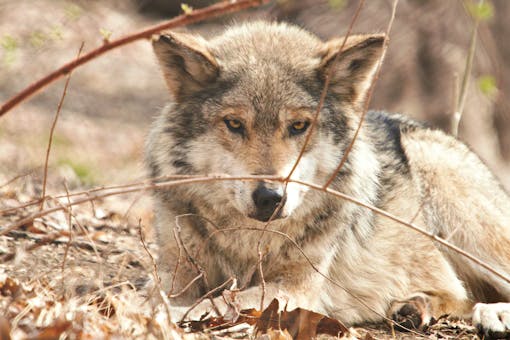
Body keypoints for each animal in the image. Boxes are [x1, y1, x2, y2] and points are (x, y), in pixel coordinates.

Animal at [143, 21, 510, 338]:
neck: (248, 241)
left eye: (298, 126)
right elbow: (156, 292)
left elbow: (221, 300)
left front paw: (179, 315)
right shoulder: (176, 268)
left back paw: (494, 314)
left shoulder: (296, 287)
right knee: (459, 294)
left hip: (453, 202)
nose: (270, 197)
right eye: (234, 124)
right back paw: (416, 306)